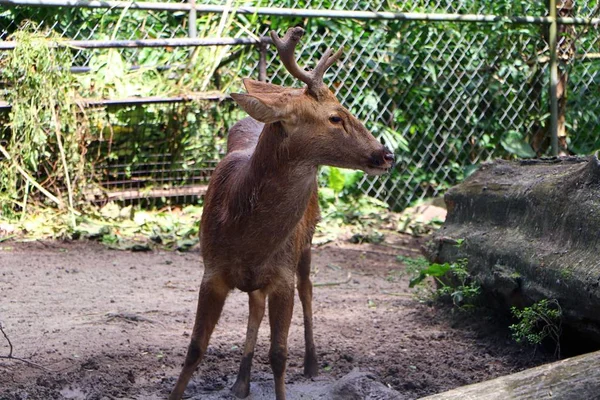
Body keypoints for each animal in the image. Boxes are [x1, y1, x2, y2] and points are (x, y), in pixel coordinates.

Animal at [169, 27, 394, 400]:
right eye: (336, 116)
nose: (386, 154)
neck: (245, 235)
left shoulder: (282, 275)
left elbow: (278, 354)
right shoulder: (211, 270)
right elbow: (194, 349)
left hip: (307, 240)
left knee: (308, 290)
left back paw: (312, 363)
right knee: (255, 305)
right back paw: (241, 381)